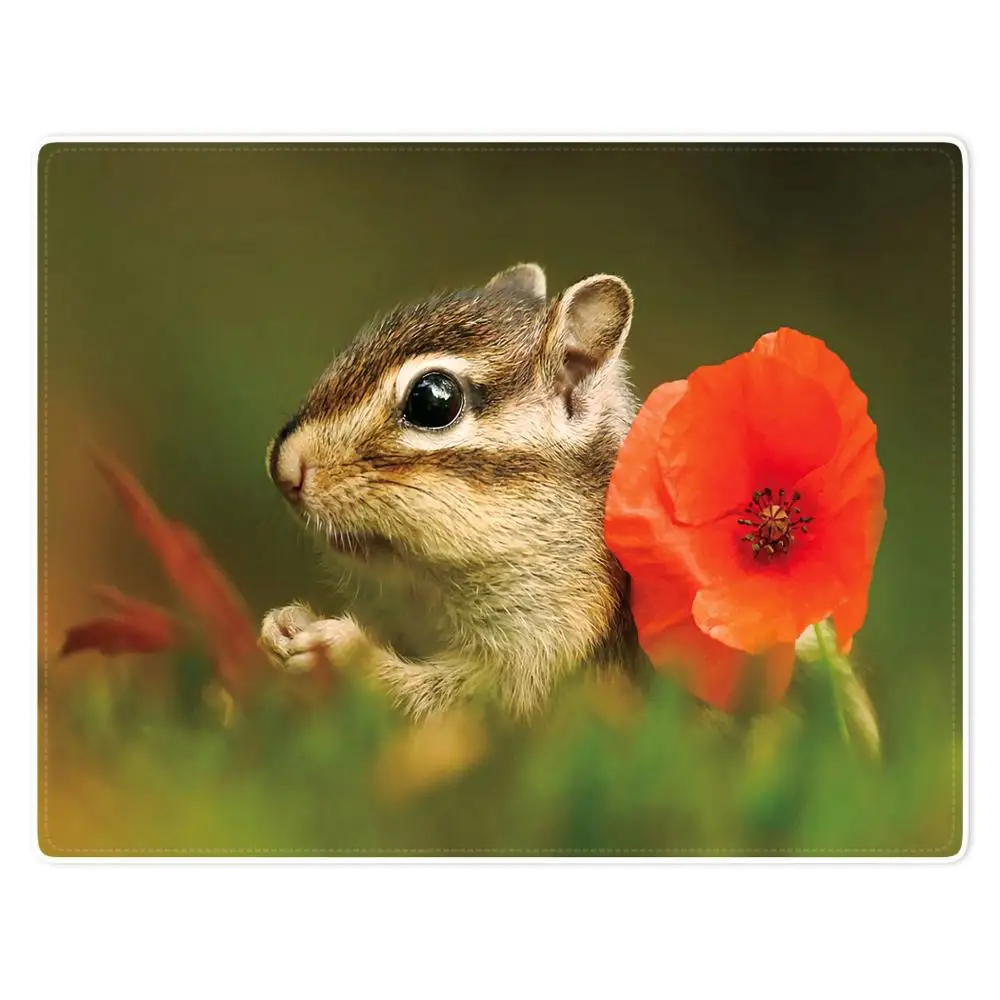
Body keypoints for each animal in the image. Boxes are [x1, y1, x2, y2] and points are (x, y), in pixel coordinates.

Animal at [260, 263, 639, 717]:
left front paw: (340, 651)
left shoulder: (549, 654)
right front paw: (280, 626)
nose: (283, 467)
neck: (430, 594)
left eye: (433, 400)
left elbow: (452, 702)